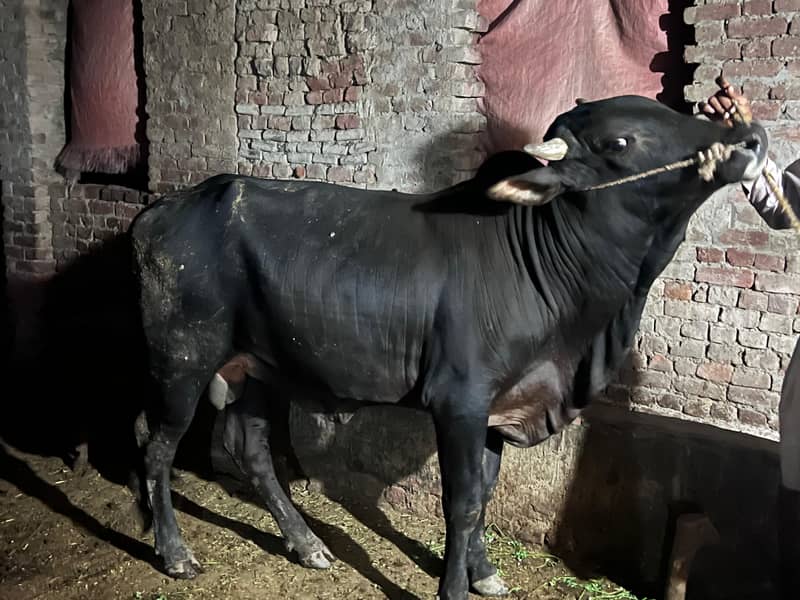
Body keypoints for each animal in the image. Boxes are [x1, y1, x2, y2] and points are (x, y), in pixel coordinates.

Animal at [130, 95, 767, 600]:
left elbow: (483, 493)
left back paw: (307, 544)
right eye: (620, 141)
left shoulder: (502, 404)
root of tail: (163, 209)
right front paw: (453, 588)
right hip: (181, 361)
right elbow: (460, 501)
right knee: (155, 444)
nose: (749, 136)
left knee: (252, 448)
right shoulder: (459, 400)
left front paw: (483, 574)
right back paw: (176, 553)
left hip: (261, 368)